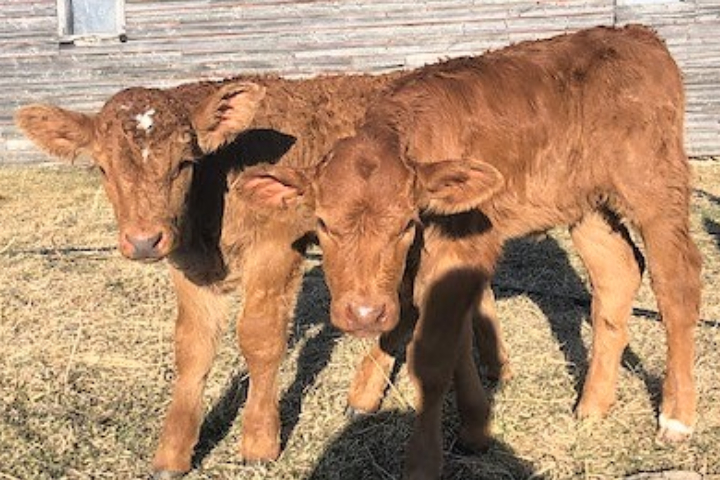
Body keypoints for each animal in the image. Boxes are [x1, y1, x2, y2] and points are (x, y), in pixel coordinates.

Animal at [15, 72, 414, 478]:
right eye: (102, 168)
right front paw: (173, 453)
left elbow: (260, 338)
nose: (144, 240)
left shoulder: (276, 246)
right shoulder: (191, 266)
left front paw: (259, 441)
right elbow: (193, 346)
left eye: (184, 164)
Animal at [238, 25, 703, 479]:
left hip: (654, 187)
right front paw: (476, 427)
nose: (364, 314)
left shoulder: (463, 244)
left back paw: (677, 417)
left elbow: (432, 353)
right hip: (586, 205)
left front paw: (423, 462)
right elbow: (456, 340)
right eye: (322, 223)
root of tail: (638, 35)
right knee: (618, 273)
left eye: (406, 223)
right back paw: (592, 405)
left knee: (677, 283)